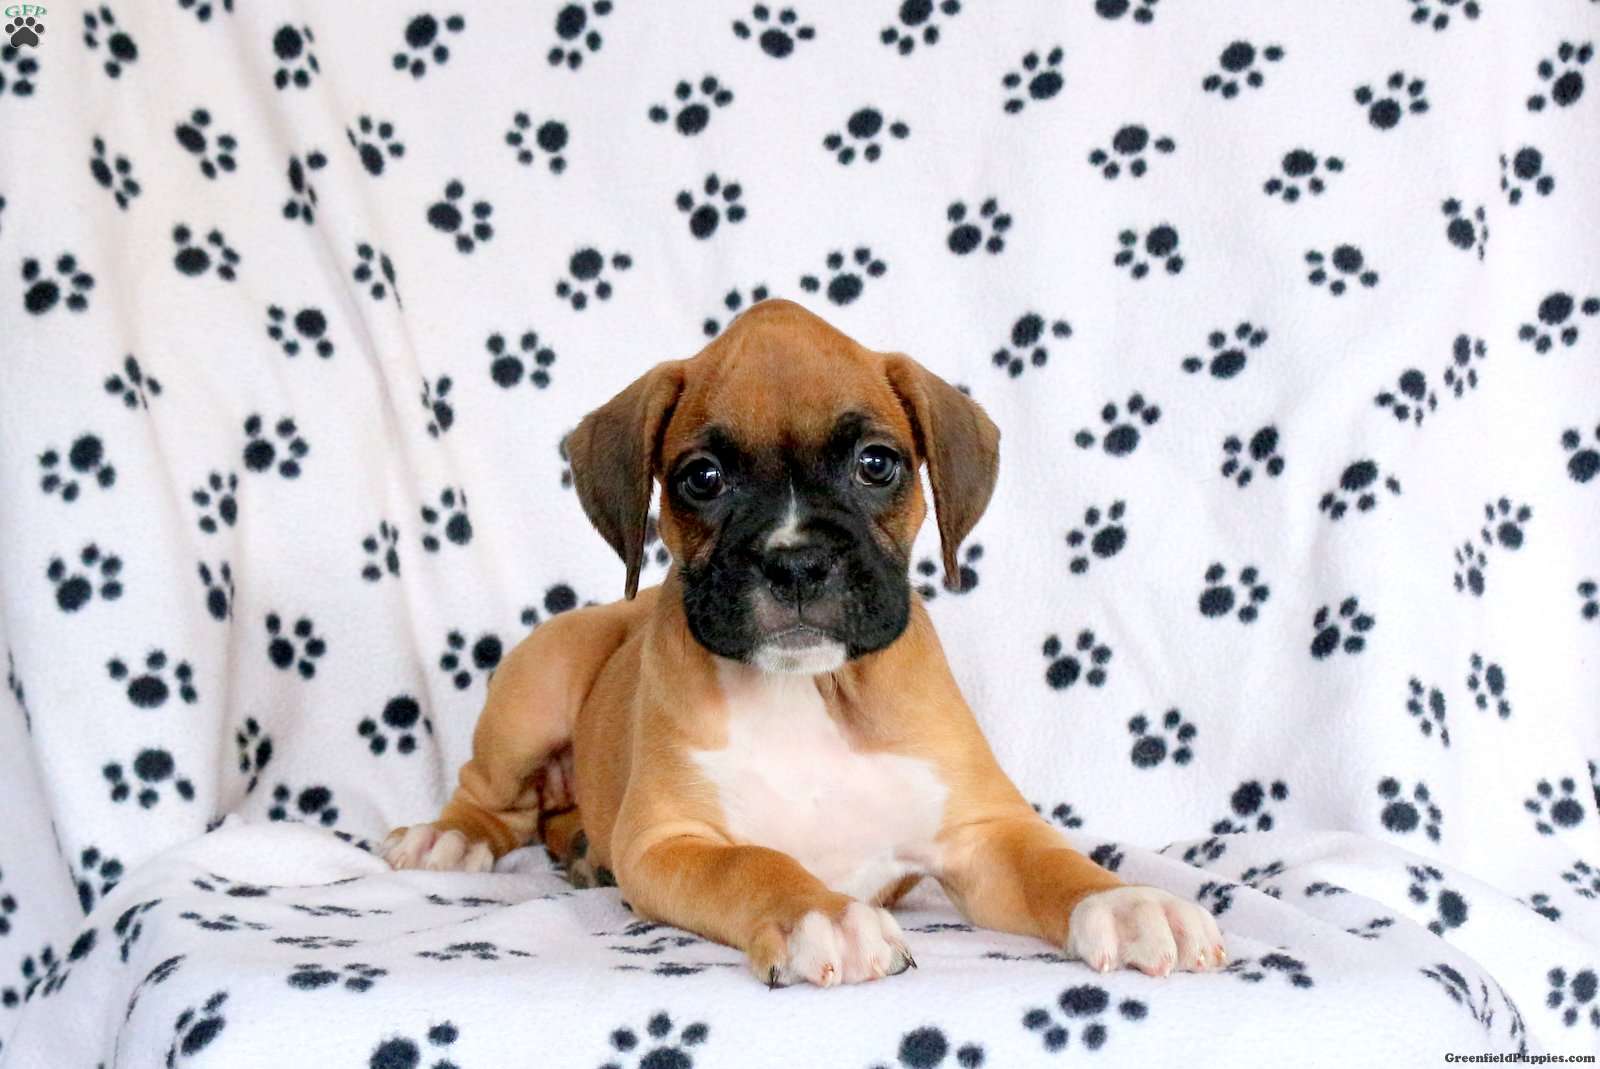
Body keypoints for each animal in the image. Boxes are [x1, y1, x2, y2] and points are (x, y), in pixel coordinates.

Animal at [382, 298, 1225, 986]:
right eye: (702, 476)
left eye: (876, 463)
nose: (795, 560)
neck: (809, 686)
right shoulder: (669, 843)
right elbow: (752, 864)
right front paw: (822, 914)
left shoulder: (983, 833)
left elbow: (1053, 862)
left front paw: (1130, 902)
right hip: (535, 686)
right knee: (491, 795)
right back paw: (446, 837)